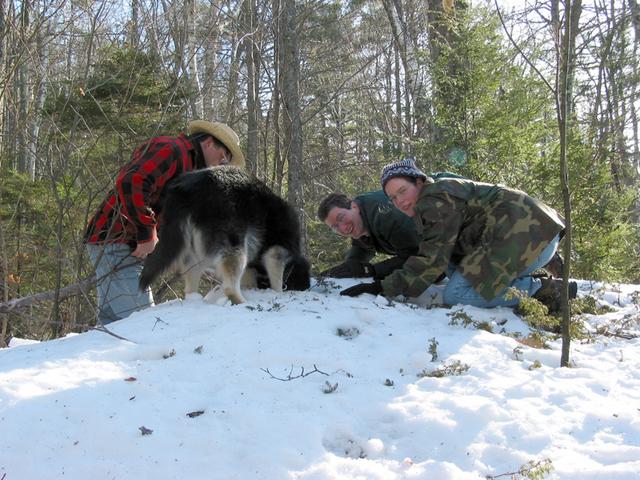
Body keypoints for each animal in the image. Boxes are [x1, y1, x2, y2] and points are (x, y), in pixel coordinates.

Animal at [139, 167, 310, 304]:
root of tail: (185, 191)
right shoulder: (276, 253)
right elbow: (277, 281)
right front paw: (278, 294)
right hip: (235, 247)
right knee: (229, 288)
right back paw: (242, 303)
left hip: (195, 254)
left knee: (190, 286)